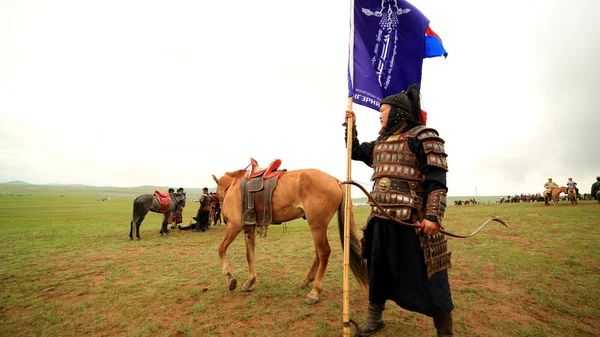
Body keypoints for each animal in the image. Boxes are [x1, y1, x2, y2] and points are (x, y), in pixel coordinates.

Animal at [213, 167, 368, 304]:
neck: (234, 187)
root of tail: (335, 181)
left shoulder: (234, 226)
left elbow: (221, 249)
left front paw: (230, 278)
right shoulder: (249, 228)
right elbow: (249, 255)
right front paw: (249, 282)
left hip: (317, 225)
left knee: (324, 252)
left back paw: (314, 292)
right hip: (317, 227)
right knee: (318, 254)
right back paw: (307, 280)